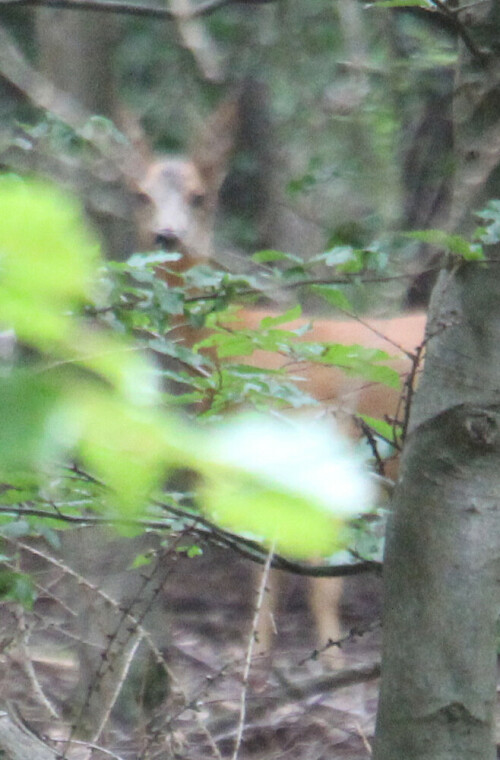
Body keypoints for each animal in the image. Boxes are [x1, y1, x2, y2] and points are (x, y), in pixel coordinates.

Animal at [136, 102, 426, 664]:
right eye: (139, 192)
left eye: (199, 195)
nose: (165, 235)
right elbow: (263, 567)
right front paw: (255, 659)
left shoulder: (325, 438)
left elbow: (318, 572)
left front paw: (328, 660)